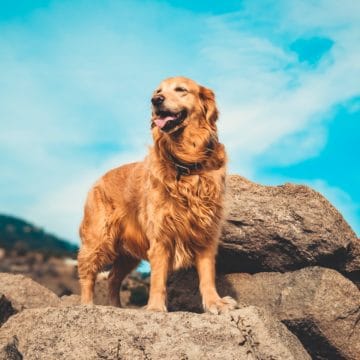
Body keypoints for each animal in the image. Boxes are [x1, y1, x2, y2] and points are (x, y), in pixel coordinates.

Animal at [77, 77, 238, 314]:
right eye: (158, 91)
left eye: (181, 89)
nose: (156, 100)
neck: (185, 163)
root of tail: (98, 180)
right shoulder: (161, 234)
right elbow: (158, 277)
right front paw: (154, 307)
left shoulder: (205, 231)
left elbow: (207, 275)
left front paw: (214, 303)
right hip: (99, 237)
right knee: (88, 272)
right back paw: (88, 304)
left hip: (127, 253)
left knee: (113, 277)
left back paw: (117, 307)